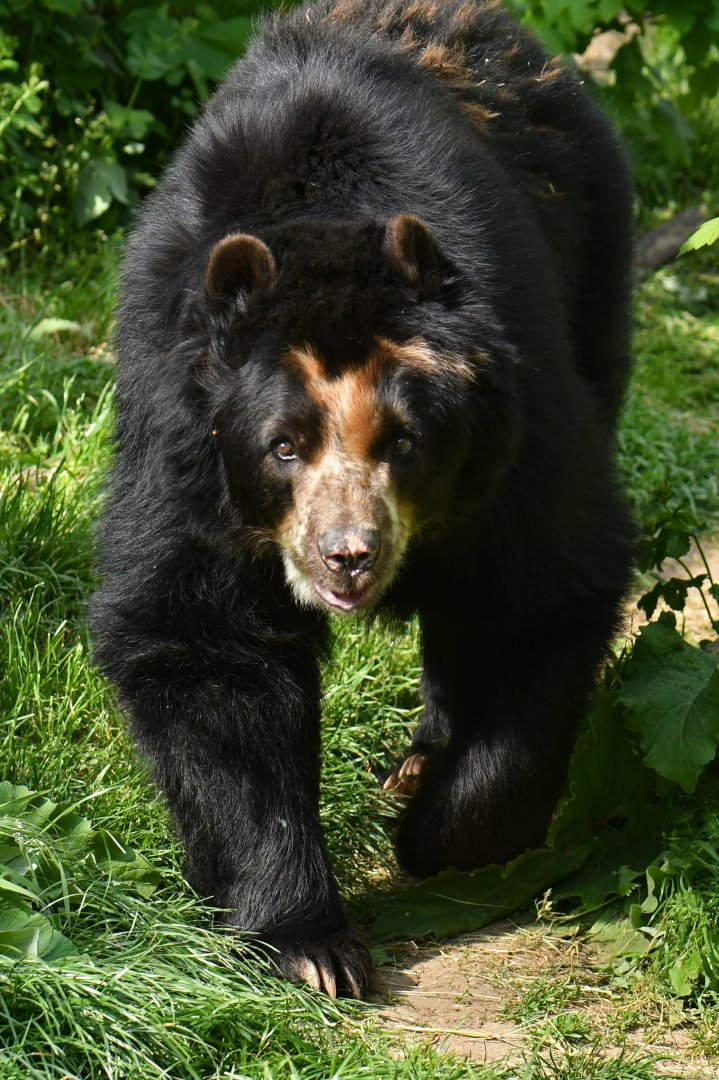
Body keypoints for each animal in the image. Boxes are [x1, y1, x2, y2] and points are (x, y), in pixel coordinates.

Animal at [90, 0, 635, 999]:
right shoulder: (178, 443)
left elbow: (542, 594)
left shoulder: (516, 425)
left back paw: (421, 758)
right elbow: (201, 640)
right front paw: (309, 947)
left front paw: (433, 833)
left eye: (403, 443)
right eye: (283, 445)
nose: (346, 556)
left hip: (593, 270)